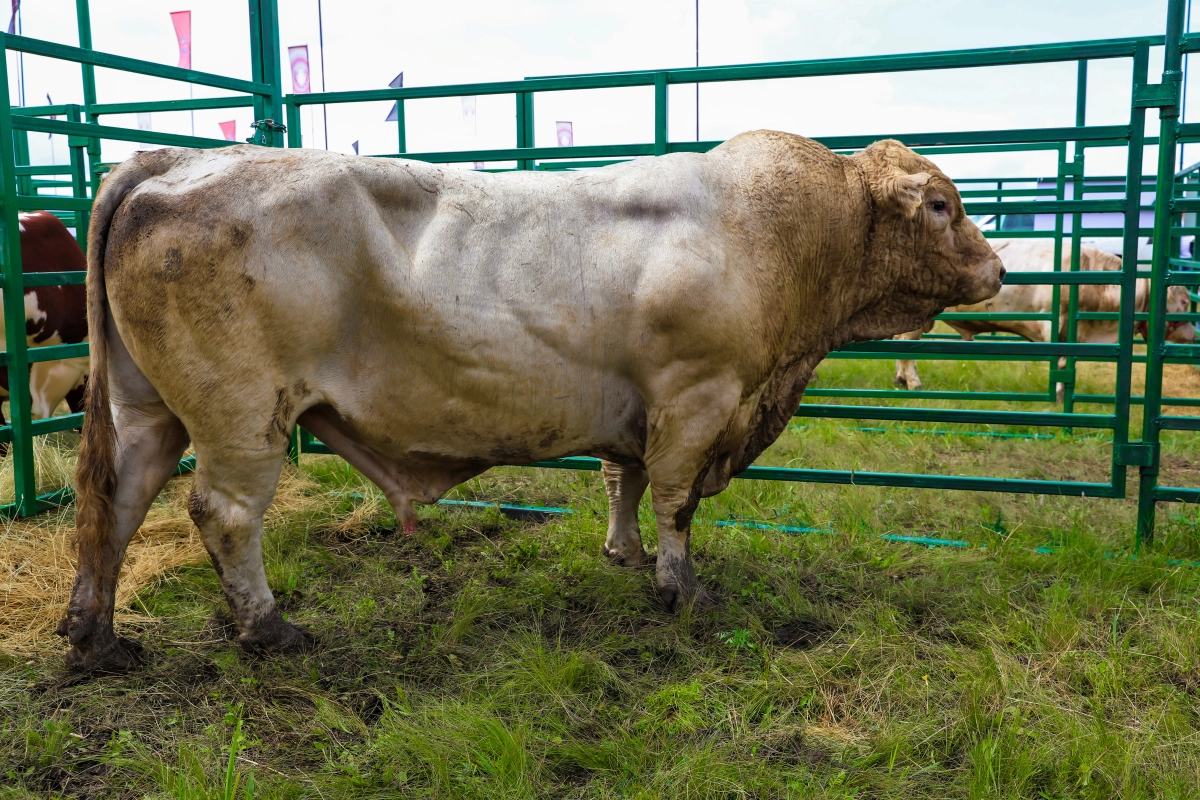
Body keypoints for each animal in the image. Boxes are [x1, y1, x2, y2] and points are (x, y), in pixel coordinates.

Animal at [58, 136, 1003, 671]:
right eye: (942, 205)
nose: (997, 270)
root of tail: (175, 160)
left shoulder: (641, 410)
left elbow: (624, 479)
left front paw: (623, 554)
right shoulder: (697, 399)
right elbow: (676, 501)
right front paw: (681, 589)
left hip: (148, 412)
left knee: (115, 504)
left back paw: (96, 639)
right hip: (241, 418)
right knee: (223, 514)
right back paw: (268, 631)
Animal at [897, 241, 1195, 398]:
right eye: (1183, 302)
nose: (1194, 335)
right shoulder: (1055, 323)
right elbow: (1061, 359)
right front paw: (1059, 393)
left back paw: (901, 380)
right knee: (907, 348)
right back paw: (914, 383)